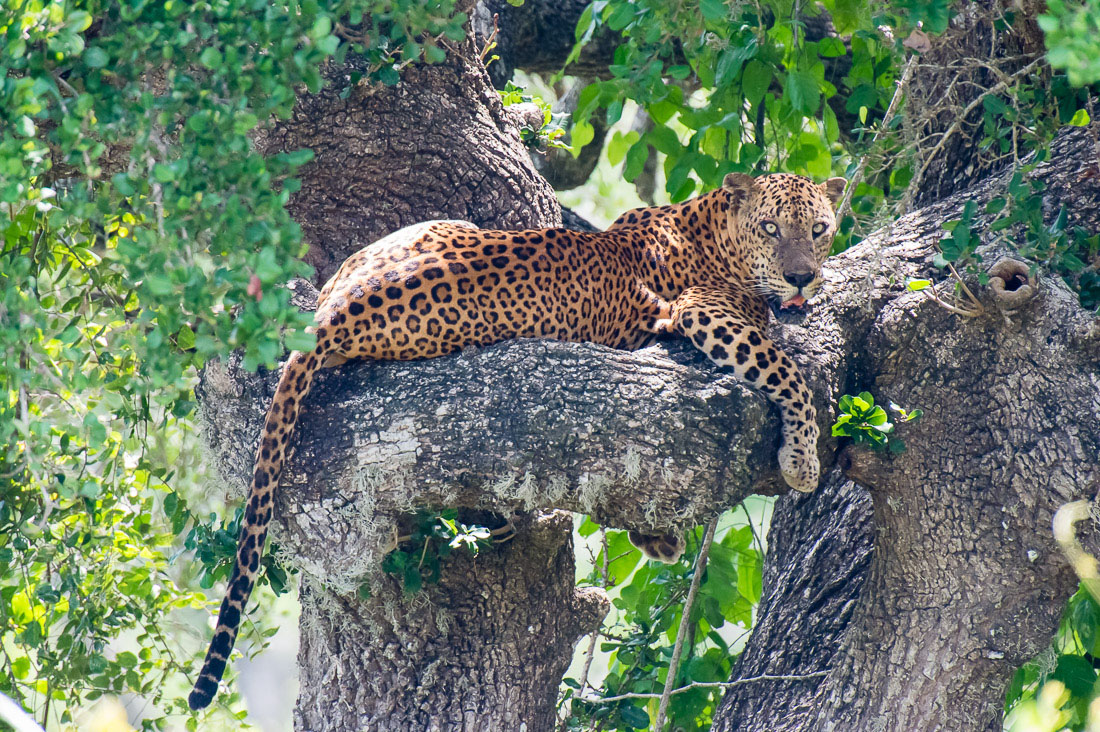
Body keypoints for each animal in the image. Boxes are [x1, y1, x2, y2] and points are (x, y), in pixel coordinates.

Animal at [187, 171, 840, 708]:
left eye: (819, 229)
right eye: (771, 228)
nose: (802, 277)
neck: (711, 228)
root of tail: (340, 307)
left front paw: (655, 535)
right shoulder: (707, 313)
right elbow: (784, 368)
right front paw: (802, 460)